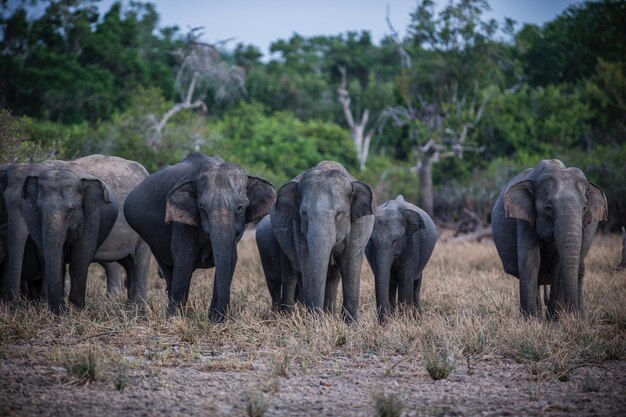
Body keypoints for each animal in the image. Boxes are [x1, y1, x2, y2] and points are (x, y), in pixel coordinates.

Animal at [123, 153, 274, 322]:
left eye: (240, 208)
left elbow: (231, 259)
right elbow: (184, 259)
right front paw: (174, 319)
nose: (220, 317)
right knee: (168, 268)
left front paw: (215, 320)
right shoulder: (182, 223)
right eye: (202, 208)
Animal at [264, 161, 376, 320]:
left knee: (333, 277)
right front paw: (315, 321)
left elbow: (350, 264)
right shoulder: (298, 229)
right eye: (304, 214)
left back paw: (329, 315)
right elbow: (307, 263)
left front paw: (350, 323)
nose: (316, 315)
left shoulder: (359, 224)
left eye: (339, 214)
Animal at [492, 158, 604, 316]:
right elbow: (530, 260)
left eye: (585, 208)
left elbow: (558, 263)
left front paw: (555, 319)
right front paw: (531, 319)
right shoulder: (524, 218)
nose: (573, 313)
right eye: (549, 208)